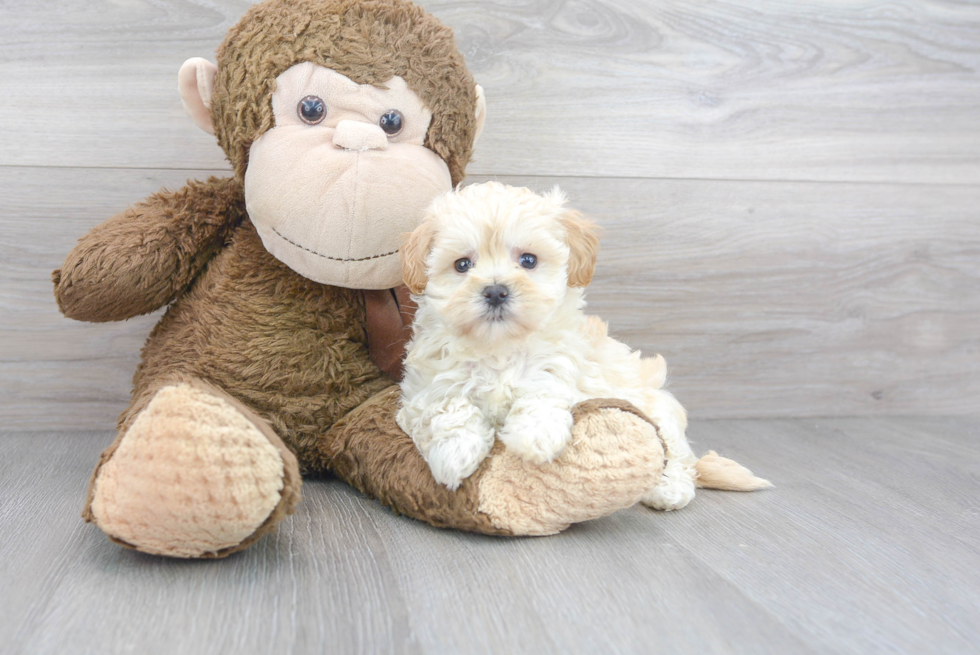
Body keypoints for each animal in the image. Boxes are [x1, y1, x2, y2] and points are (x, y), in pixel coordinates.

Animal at [394, 182, 768, 510]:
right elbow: (446, 406)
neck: (499, 348)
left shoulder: (562, 367)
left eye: (528, 260)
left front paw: (536, 437)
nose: (496, 291)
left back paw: (668, 489)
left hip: (657, 408)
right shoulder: (423, 389)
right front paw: (455, 453)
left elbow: (543, 390)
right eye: (462, 264)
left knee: (675, 456)